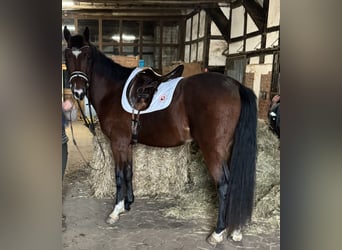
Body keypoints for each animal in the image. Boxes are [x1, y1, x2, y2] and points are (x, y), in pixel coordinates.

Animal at [63, 26, 256, 245]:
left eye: (87, 55)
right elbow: (129, 172)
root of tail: (235, 85)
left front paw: (116, 210)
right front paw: (128, 203)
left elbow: (119, 174)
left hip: (213, 150)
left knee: (224, 185)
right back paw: (235, 230)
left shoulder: (118, 143)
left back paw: (218, 232)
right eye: (67, 55)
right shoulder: (128, 144)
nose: (78, 91)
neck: (114, 90)